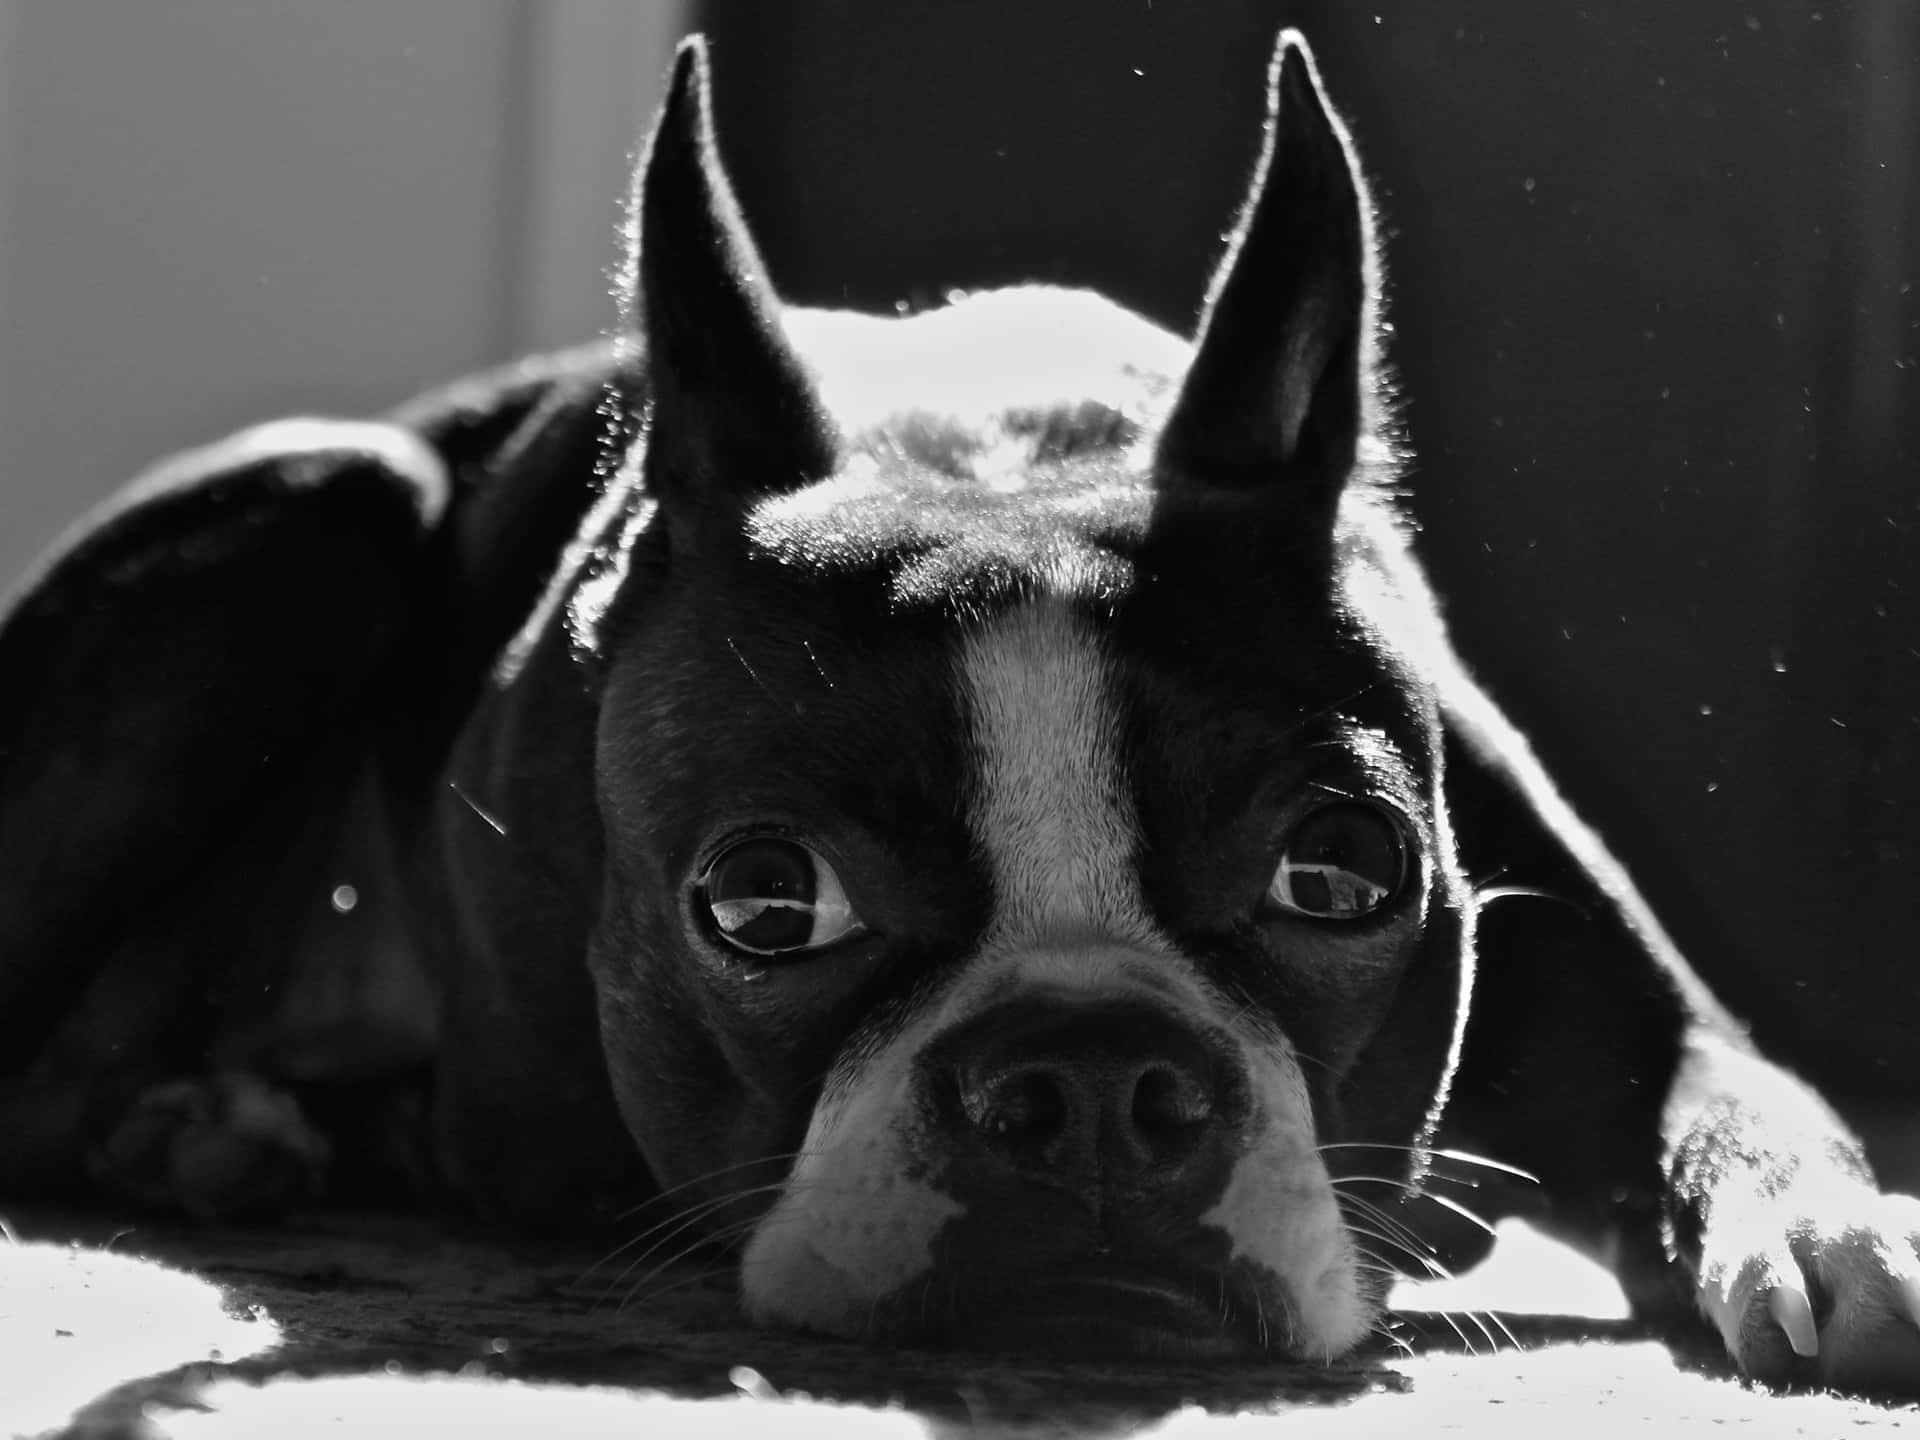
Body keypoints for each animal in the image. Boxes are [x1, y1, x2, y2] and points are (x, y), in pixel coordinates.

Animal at [0, 22, 1912, 1390]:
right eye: (765, 903)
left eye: (1345, 874)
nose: (1093, 1079)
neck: (998, 442)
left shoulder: (1653, 1008)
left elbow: (1742, 1095)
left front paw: (1841, 1236)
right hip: (321, 501)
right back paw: (201, 1129)